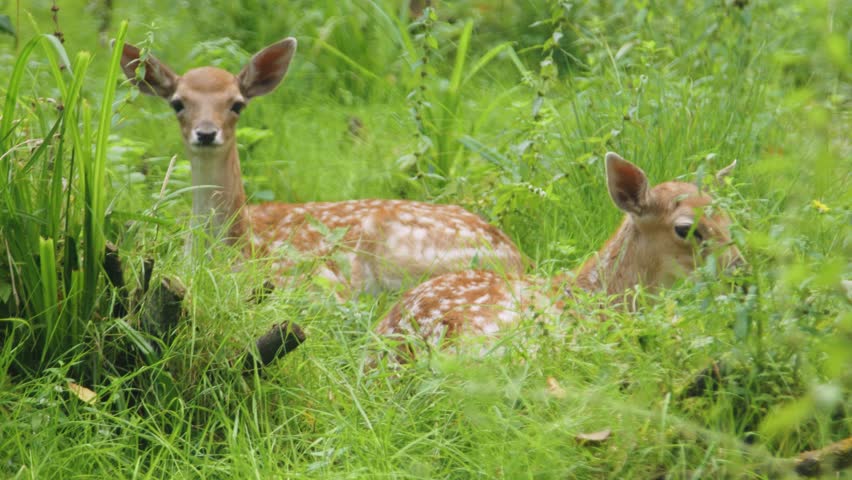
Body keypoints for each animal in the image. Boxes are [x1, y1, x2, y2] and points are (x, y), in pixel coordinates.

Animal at [117, 37, 523, 296]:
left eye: (236, 104)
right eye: (177, 103)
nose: (205, 133)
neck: (233, 245)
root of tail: (519, 258)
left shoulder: (302, 280)